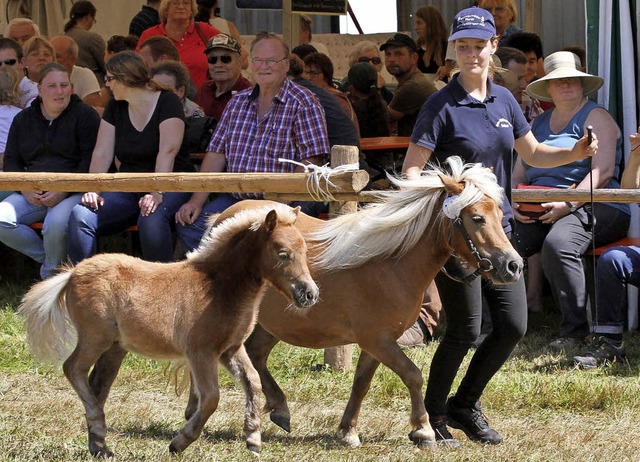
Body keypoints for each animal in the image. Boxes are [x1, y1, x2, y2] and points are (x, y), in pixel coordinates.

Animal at [18, 208, 318, 456]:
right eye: (283, 253)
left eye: (305, 251)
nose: (310, 294)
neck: (218, 286)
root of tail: (71, 274)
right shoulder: (200, 352)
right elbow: (211, 398)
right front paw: (179, 442)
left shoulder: (230, 349)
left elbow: (253, 381)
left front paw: (254, 439)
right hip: (95, 338)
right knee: (73, 368)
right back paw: (99, 433)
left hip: (114, 348)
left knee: (97, 385)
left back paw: (100, 445)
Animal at [208, 155, 524, 448]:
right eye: (477, 218)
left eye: (499, 213)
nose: (513, 265)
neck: (389, 264)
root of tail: (225, 218)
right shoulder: (378, 340)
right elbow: (413, 375)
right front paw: (423, 431)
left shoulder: (377, 343)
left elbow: (361, 383)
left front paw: (349, 431)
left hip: (274, 324)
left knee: (257, 354)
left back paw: (280, 410)